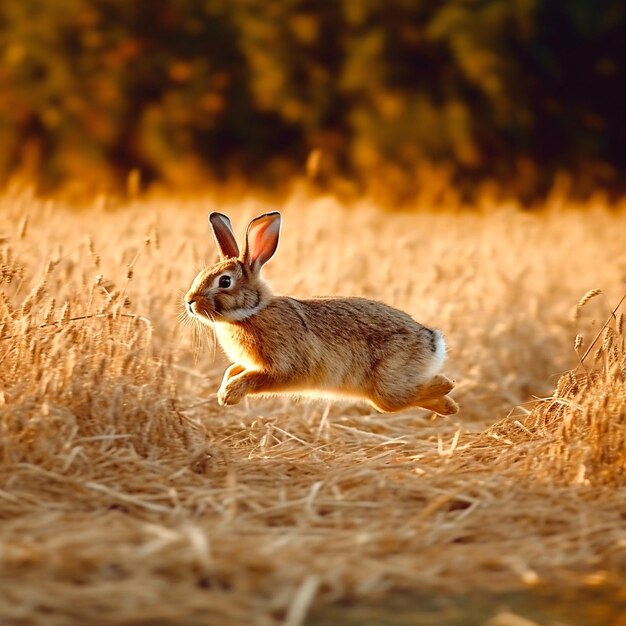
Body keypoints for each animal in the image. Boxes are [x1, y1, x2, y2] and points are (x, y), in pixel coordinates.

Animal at [183, 211, 456, 414]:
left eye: (225, 281)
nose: (189, 302)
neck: (251, 313)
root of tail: (432, 342)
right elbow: (233, 370)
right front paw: (223, 391)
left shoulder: (282, 367)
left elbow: (254, 378)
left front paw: (229, 395)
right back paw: (447, 404)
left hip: (387, 385)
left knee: (399, 397)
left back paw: (446, 387)